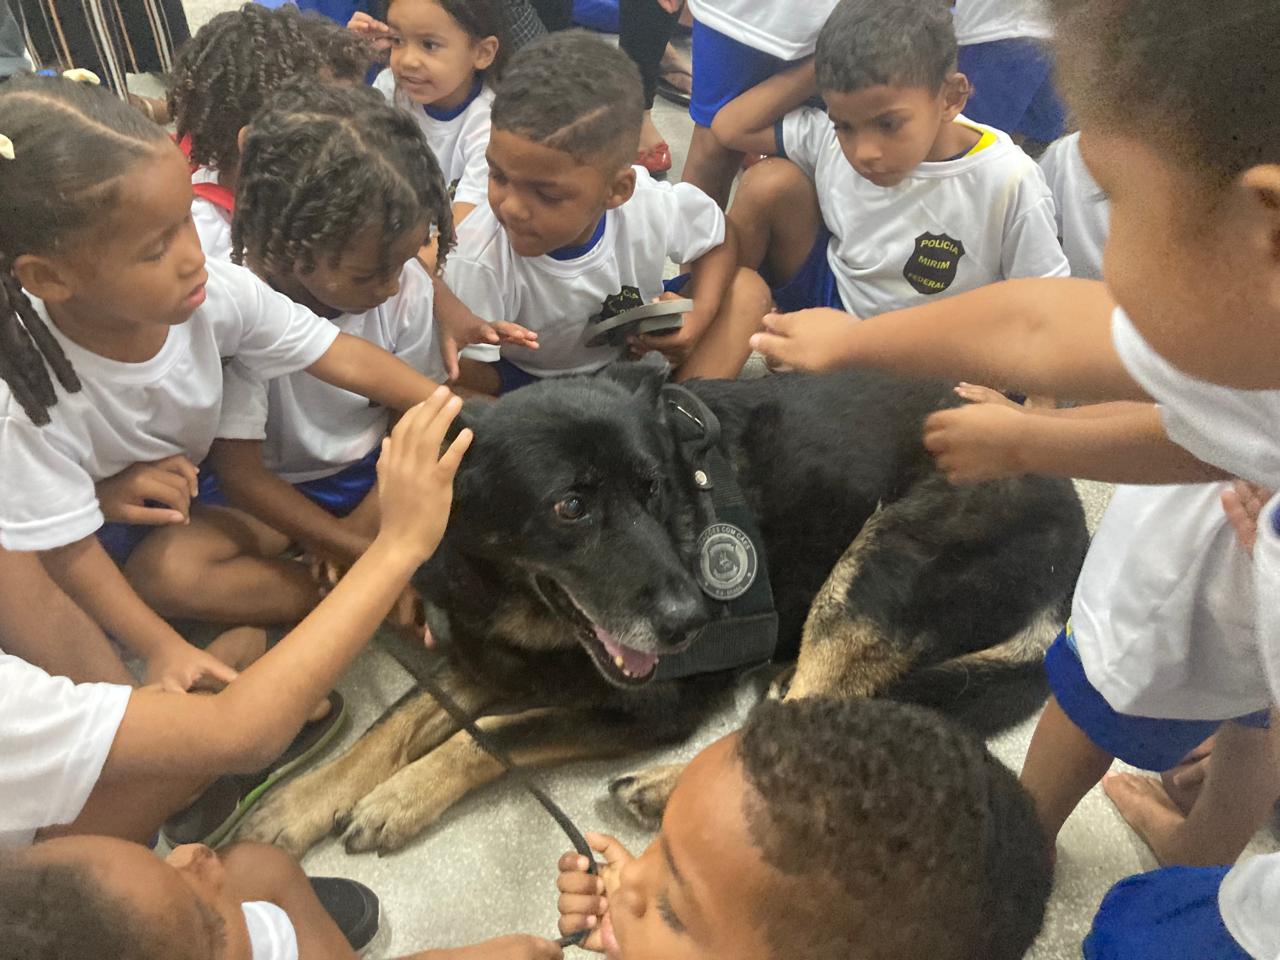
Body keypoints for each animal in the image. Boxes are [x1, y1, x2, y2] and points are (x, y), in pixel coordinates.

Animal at [241, 366, 1090, 855]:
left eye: (653, 488)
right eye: (571, 506)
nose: (692, 622)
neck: (522, 604)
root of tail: (1077, 522)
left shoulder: (649, 708)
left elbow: (499, 735)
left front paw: (400, 796)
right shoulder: (489, 660)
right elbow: (400, 722)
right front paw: (307, 797)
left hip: (876, 564)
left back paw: (668, 786)